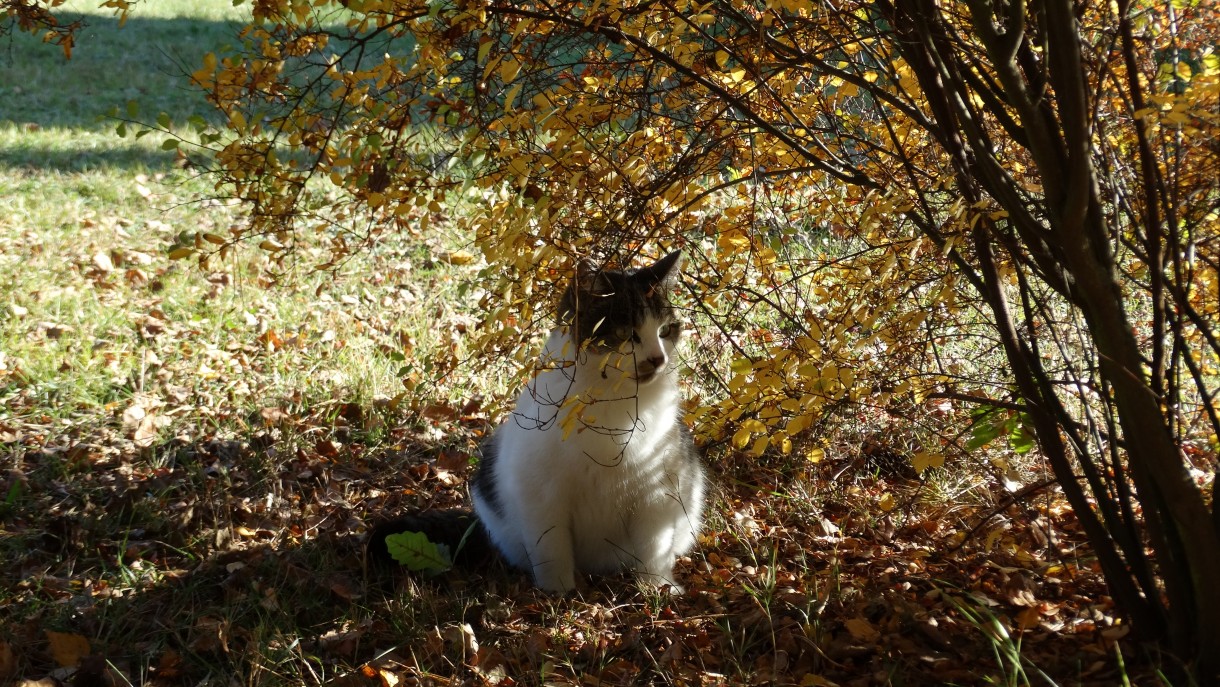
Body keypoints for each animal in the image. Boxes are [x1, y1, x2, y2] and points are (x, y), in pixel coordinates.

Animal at [366, 250, 707, 593]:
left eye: (666, 330)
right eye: (627, 334)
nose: (658, 359)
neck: (612, 402)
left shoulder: (657, 493)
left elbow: (654, 547)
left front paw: (657, 587)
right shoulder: (541, 495)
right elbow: (551, 547)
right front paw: (559, 591)